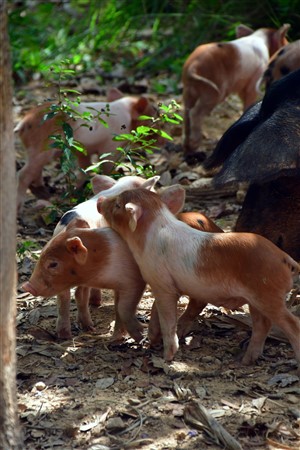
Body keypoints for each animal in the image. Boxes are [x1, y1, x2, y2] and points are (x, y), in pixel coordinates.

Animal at [98, 186, 300, 366]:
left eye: (117, 205)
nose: (100, 200)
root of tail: (283, 257)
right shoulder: (163, 285)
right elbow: (156, 312)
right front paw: (151, 341)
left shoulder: (162, 283)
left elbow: (167, 320)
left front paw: (167, 357)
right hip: (256, 299)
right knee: (262, 324)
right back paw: (245, 361)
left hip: (268, 295)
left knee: (292, 324)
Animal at [182, 23, 290, 156]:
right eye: (284, 42)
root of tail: (193, 66)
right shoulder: (253, 81)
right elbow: (248, 101)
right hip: (212, 91)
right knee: (195, 112)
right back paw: (195, 146)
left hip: (188, 89)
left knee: (186, 112)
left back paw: (187, 149)